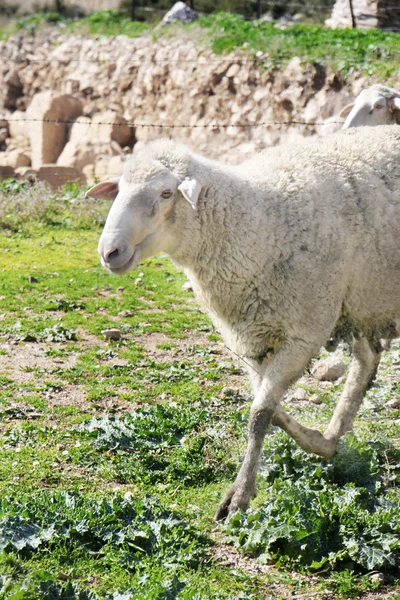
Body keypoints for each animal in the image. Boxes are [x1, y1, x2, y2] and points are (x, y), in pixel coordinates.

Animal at [86, 127, 400, 520]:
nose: (109, 252)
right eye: (119, 189)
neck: (257, 224)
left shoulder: (303, 333)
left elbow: (259, 416)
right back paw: (333, 433)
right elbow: (268, 410)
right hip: (358, 301)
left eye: (166, 193)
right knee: (366, 362)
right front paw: (320, 443)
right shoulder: (252, 339)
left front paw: (239, 496)